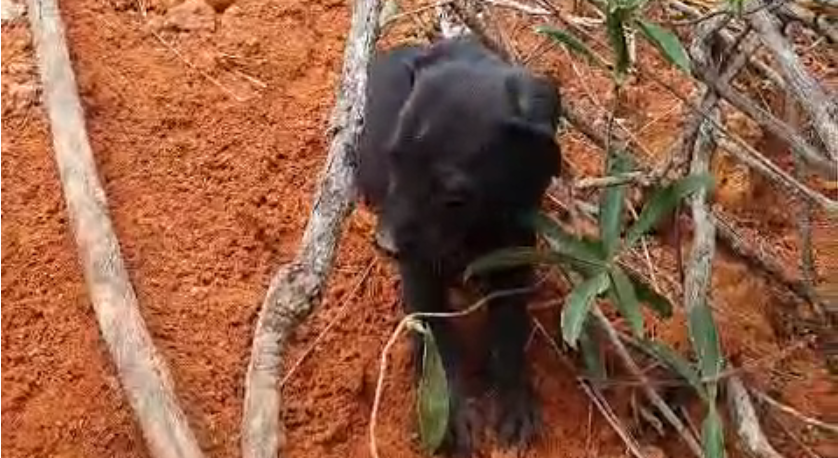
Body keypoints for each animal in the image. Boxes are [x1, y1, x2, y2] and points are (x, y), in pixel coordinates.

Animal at [356, 36, 564, 454]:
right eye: (394, 159)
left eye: (453, 196)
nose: (385, 246)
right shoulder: (419, 272)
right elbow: (437, 339)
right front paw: (450, 414)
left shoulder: (515, 250)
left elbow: (510, 329)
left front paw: (515, 401)